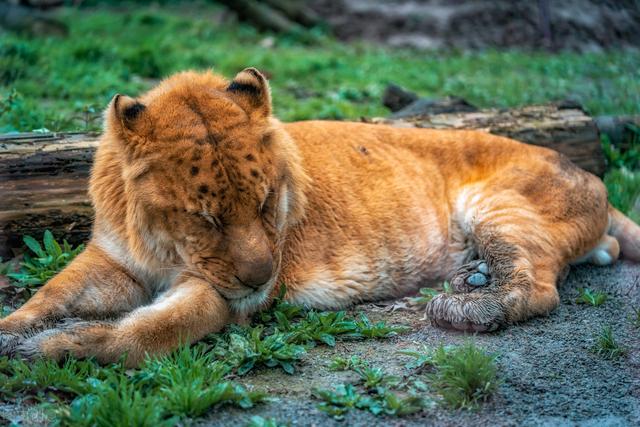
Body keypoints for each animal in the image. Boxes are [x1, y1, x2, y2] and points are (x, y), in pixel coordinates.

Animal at [1, 68, 640, 366]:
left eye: (265, 205)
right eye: (205, 218)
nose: (261, 278)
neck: (162, 247)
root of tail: (592, 176)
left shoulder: (222, 295)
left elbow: (147, 333)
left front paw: (58, 349)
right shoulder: (114, 260)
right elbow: (50, 294)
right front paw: (15, 331)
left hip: (499, 203)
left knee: (541, 286)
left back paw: (468, 302)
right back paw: (475, 277)